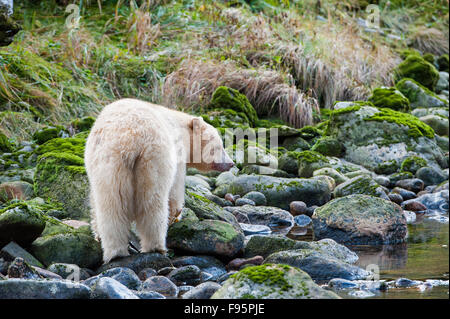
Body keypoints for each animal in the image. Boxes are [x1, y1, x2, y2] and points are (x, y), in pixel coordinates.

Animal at [83, 99, 236, 264]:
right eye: (218, 146)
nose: (231, 163)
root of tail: (131, 138)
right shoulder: (177, 155)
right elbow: (175, 192)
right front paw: (176, 216)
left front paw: (97, 234)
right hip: (153, 159)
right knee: (153, 204)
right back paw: (156, 247)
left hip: (109, 163)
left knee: (111, 205)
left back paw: (115, 252)